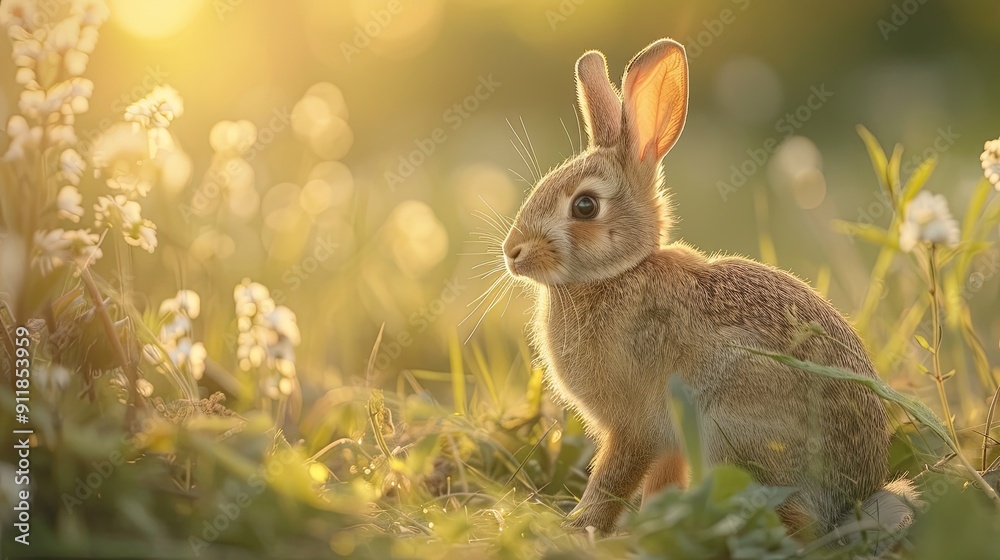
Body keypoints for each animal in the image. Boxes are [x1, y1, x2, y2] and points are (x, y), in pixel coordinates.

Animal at [501, 38, 918, 541]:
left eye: (584, 206)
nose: (512, 252)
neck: (617, 275)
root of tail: (848, 502)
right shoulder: (667, 443)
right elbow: (660, 482)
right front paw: (646, 524)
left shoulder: (635, 426)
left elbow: (611, 479)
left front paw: (580, 525)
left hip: (731, 429)